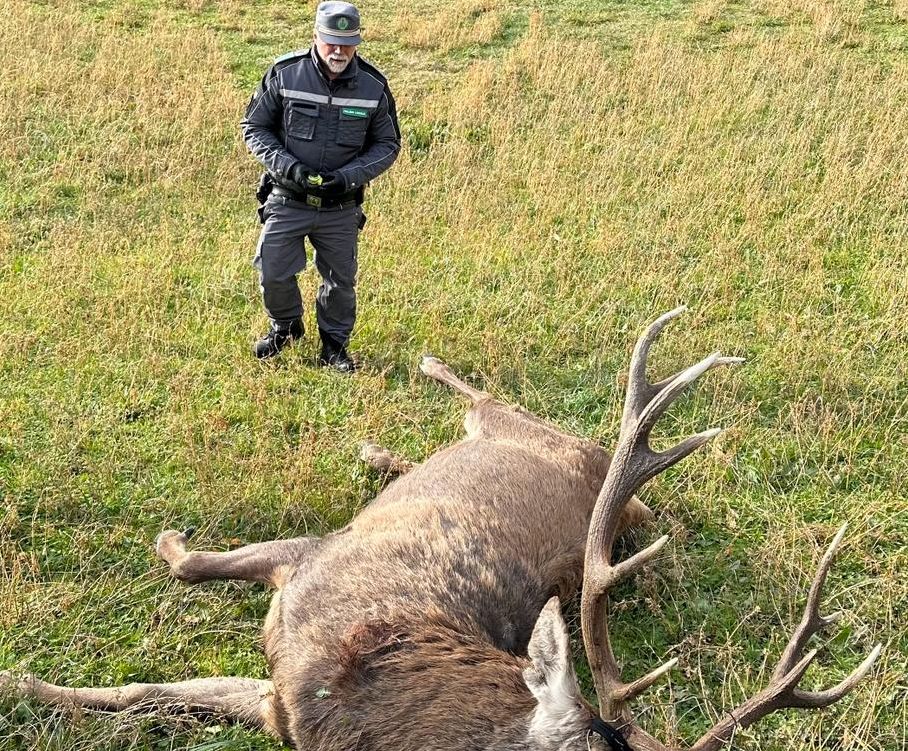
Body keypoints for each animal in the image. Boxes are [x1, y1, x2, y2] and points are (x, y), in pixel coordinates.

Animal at [1, 308, 880, 750]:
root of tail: (613, 479)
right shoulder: (307, 565)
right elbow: (156, 648)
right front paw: (25, 677)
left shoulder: (283, 702)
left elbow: (155, 690)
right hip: (515, 425)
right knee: (477, 394)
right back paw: (410, 390)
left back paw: (381, 447)